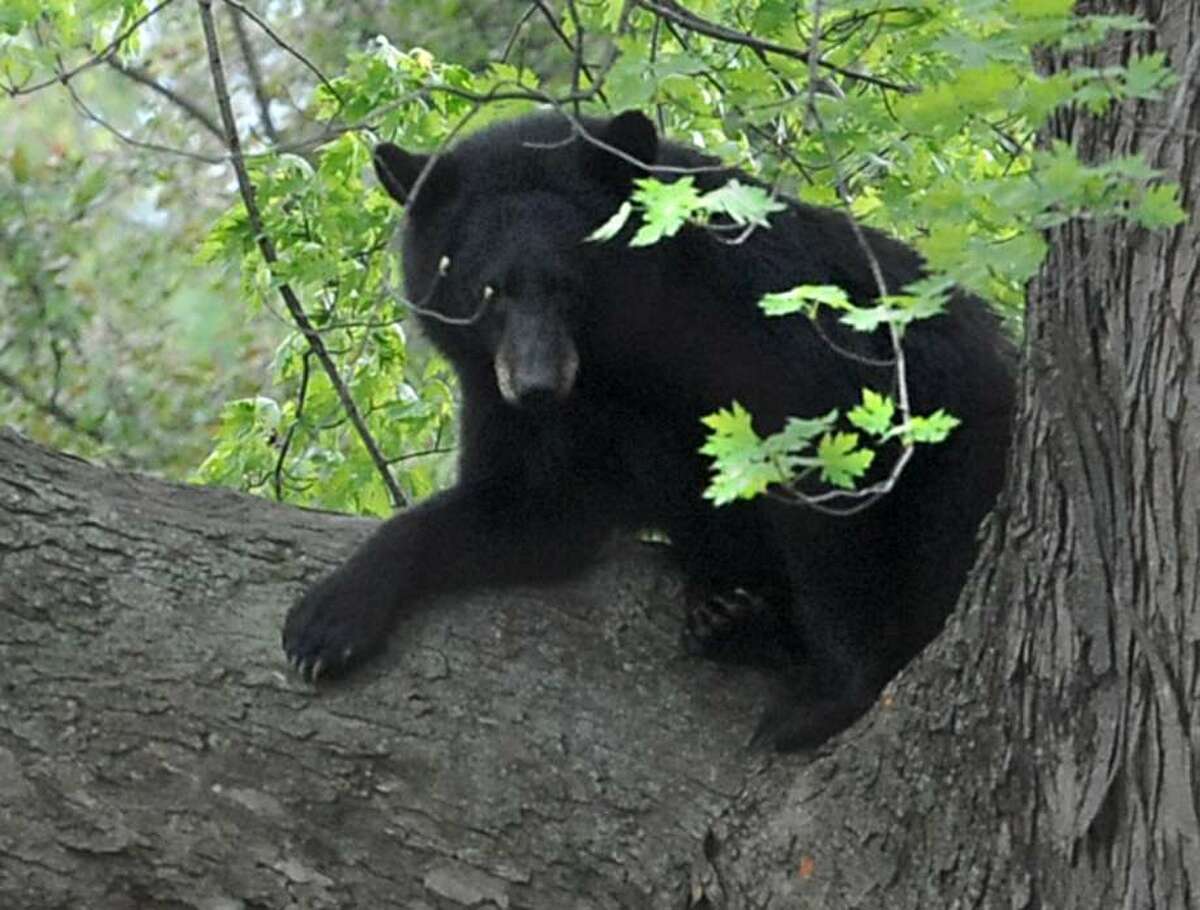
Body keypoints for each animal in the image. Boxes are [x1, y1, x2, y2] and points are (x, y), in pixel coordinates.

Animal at [282, 110, 1015, 751]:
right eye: (488, 291)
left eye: (568, 284)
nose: (537, 386)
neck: (615, 360)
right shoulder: (496, 393)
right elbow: (532, 505)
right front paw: (325, 620)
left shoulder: (768, 316)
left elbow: (823, 479)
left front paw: (821, 700)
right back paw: (726, 612)